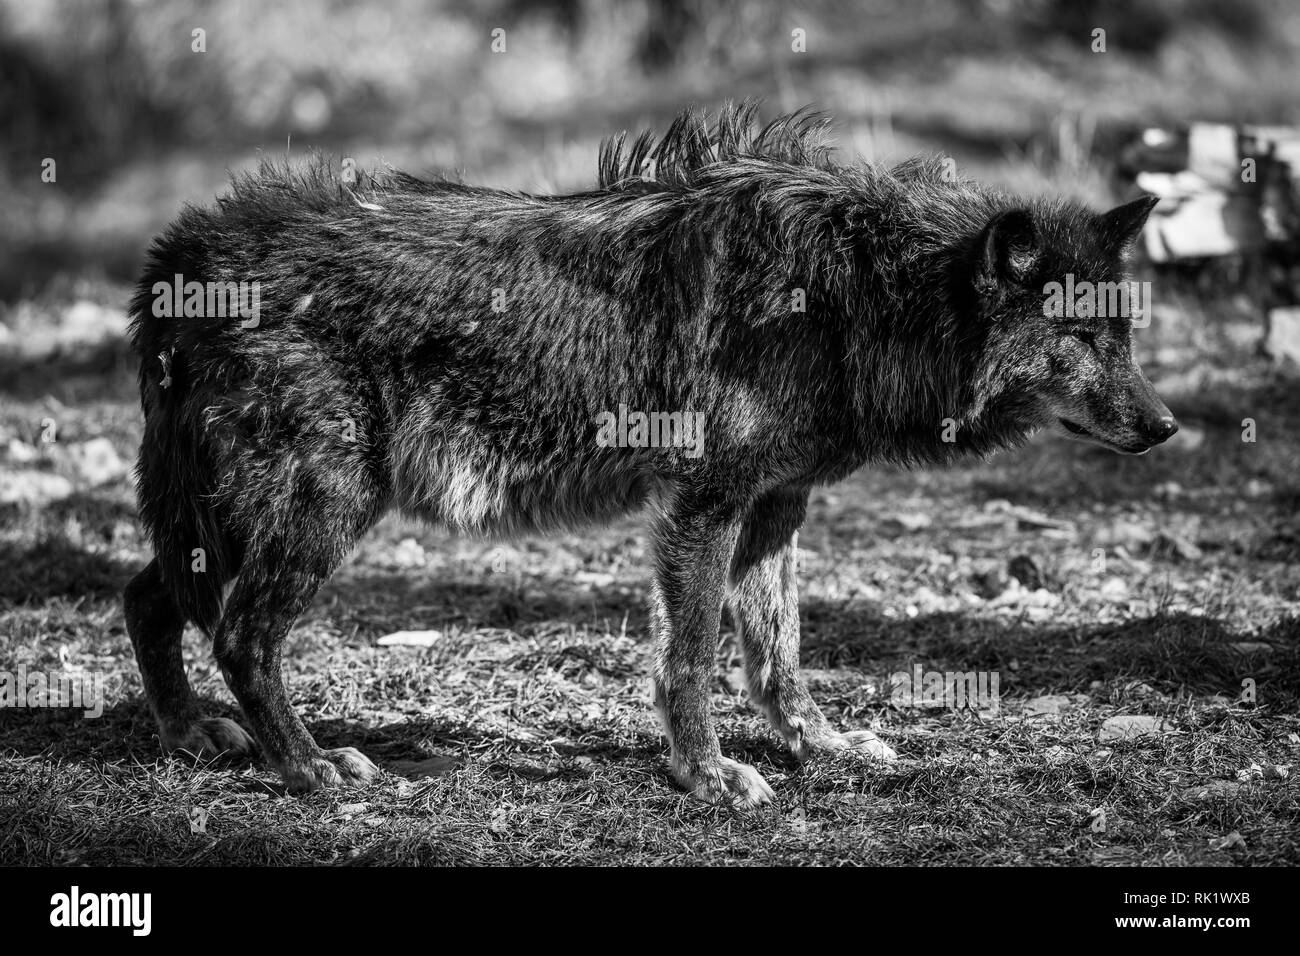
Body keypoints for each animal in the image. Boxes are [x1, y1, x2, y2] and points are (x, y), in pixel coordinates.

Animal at [124, 103, 1176, 807]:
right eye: (1079, 339)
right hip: (320, 506)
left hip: (230, 513)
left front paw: (820, 747)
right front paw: (705, 776)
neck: (855, 293)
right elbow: (694, 654)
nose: (1165, 425)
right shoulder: (703, 504)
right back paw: (307, 768)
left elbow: (779, 653)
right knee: (240, 634)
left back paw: (188, 733)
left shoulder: (775, 507)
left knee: (144, 595)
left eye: (1124, 334)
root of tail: (185, 251)